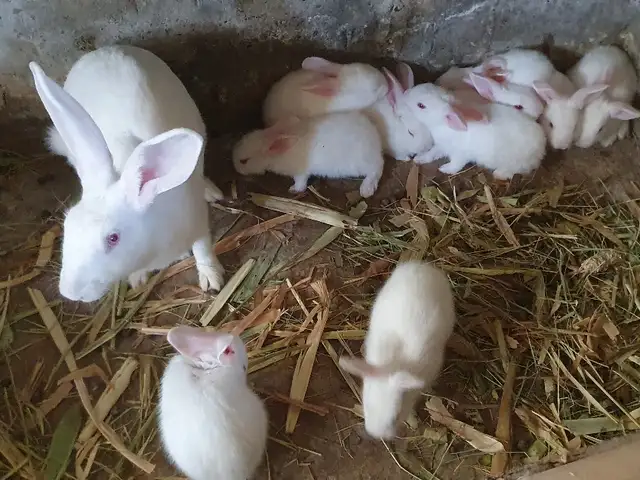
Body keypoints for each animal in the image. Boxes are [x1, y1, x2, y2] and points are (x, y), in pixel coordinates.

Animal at [29, 45, 225, 302]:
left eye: (113, 238)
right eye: (67, 225)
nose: (70, 293)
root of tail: (103, 50)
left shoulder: (197, 220)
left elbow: (203, 248)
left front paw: (212, 279)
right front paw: (137, 278)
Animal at [232, 111, 384, 198]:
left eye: (244, 161)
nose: (235, 167)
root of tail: (374, 137)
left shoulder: (300, 173)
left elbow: (301, 182)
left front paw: (293, 189)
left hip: (361, 163)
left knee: (377, 168)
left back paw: (366, 190)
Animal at [406, 83, 546, 179]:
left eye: (421, 105)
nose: (407, 93)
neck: (443, 125)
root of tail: (542, 147)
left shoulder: (460, 153)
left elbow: (456, 164)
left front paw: (445, 169)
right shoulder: (441, 146)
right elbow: (431, 154)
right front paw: (419, 159)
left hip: (517, 161)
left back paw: (499, 174)